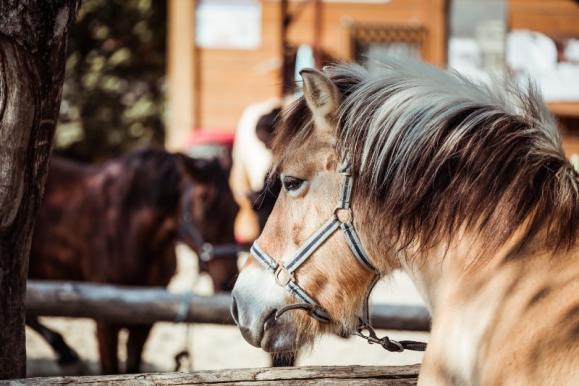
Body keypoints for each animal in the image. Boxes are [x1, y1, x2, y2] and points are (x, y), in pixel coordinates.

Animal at [27, 148, 238, 374]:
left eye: (236, 206)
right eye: (203, 200)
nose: (227, 283)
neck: (126, 230)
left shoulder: (144, 321)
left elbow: (133, 367)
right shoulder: (105, 322)